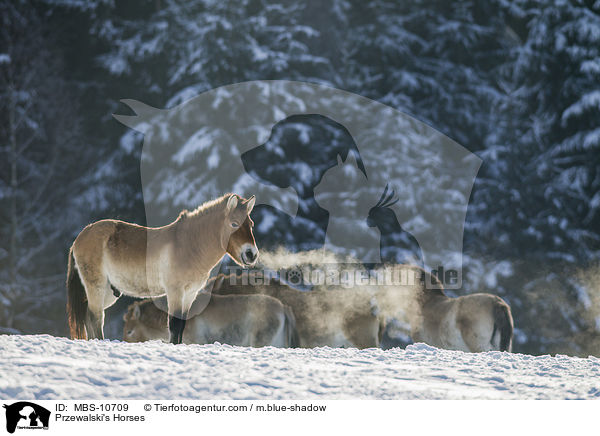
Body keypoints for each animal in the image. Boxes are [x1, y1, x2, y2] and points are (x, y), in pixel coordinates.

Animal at [66, 194, 258, 344]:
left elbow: (181, 325)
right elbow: (173, 325)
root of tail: (80, 237)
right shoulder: (175, 291)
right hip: (96, 286)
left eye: (251, 224)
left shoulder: (190, 294)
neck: (189, 246)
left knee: (88, 316)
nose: (251, 254)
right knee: (95, 318)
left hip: (107, 292)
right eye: (234, 224)